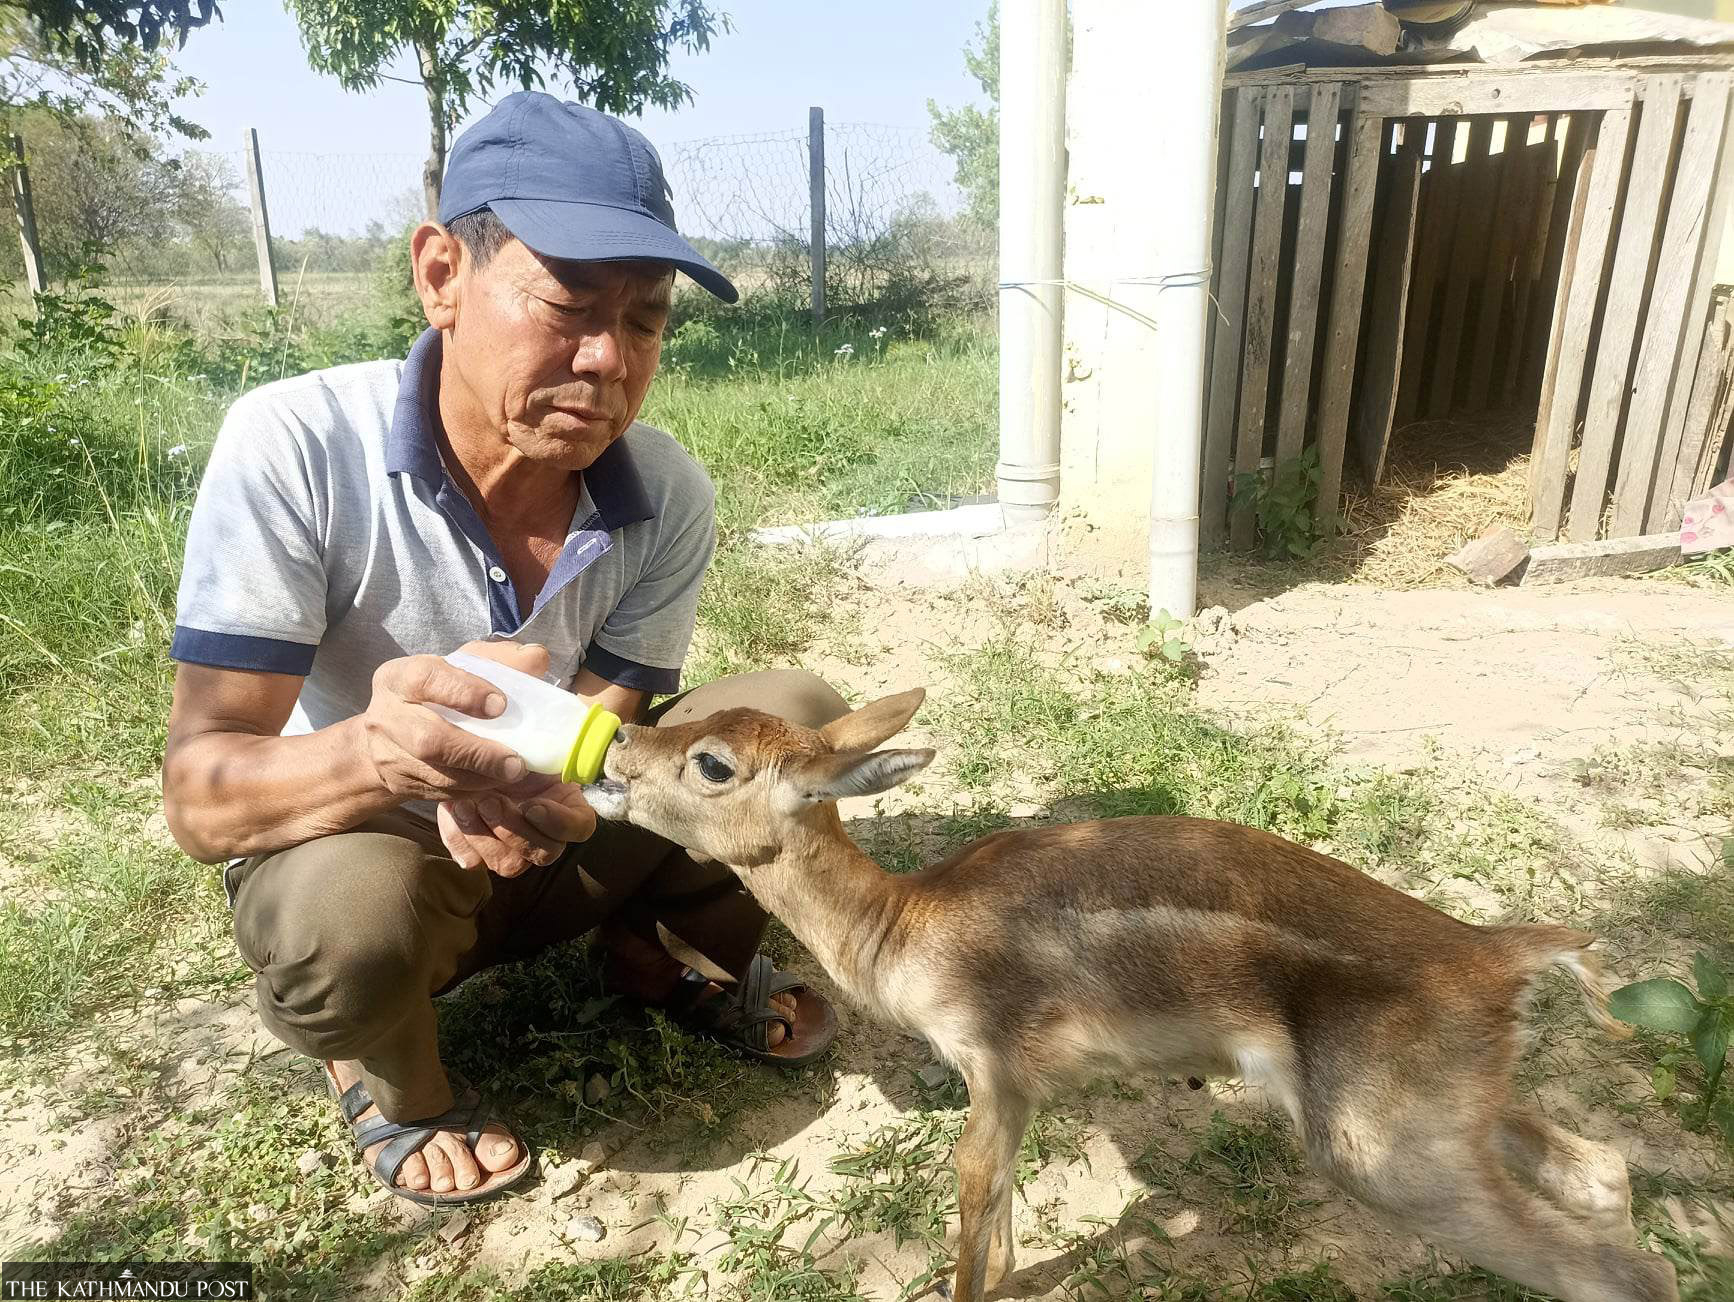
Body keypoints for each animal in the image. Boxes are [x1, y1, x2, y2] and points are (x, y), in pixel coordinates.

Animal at [582, 688, 1677, 1302]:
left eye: (711, 761)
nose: (617, 746)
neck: (905, 926)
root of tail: (1505, 952)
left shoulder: (991, 1065)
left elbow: (974, 1193)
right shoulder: (1018, 1089)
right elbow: (1003, 1205)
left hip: (1385, 1149)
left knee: (1626, 1272)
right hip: (1460, 1111)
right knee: (1602, 1171)